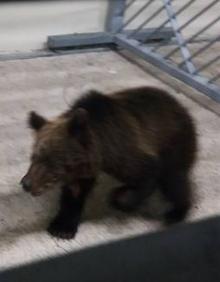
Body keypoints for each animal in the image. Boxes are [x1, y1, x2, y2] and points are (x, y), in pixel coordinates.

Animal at [20, 86, 196, 240]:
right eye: (34, 156)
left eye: (51, 161)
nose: (26, 183)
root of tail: (182, 107)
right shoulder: (82, 170)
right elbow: (75, 194)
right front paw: (62, 228)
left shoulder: (125, 151)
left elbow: (148, 173)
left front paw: (122, 200)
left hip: (174, 143)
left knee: (174, 179)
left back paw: (176, 212)